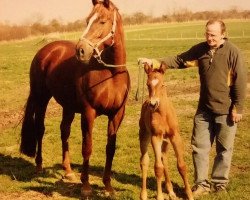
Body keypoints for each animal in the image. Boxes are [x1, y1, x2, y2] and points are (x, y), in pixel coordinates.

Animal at [20, 0, 130, 197]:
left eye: (102, 21)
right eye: (87, 20)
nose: (81, 51)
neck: (111, 74)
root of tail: (46, 50)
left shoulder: (117, 114)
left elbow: (110, 149)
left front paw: (108, 186)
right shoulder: (88, 113)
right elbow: (87, 147)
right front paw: (85, 186)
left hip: (68, 106)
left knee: (64, 131)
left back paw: (68, 171)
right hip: (41, 98)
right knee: (40, 129)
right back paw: (39, 166)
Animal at [139, 64, 193, 200]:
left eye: (162, 84)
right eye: (147, 84)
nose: (153, 104)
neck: (163, 114)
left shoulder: (175, 136)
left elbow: (181, 166)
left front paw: (190, 194)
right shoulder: (156, 137)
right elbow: (158, 168)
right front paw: (159, 196)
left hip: (166, 141)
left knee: (165, 159)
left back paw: (171, 191)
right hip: (144, 135)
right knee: (144, 161)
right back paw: (143, 194)